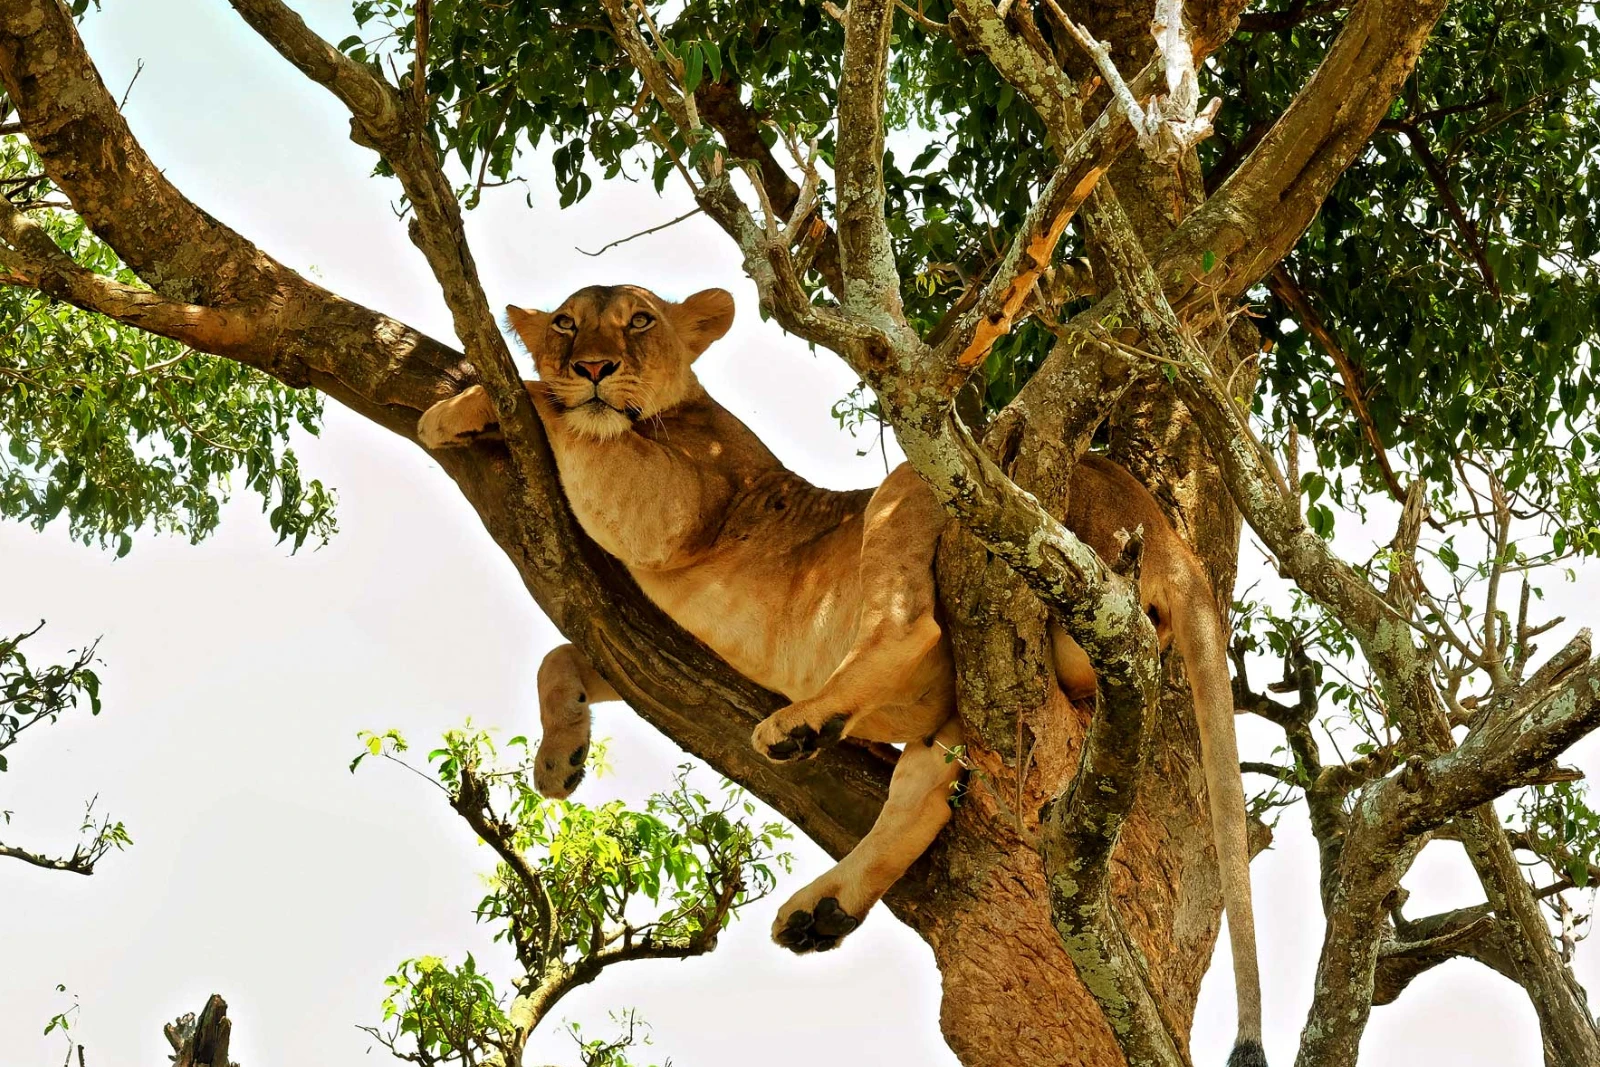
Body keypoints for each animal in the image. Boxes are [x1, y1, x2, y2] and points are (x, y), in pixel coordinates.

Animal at [417, 284, 1266, 1067]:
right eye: (565, 323)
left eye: (640, 321)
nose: (590, 364)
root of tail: (1158, 524)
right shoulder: (642, 629)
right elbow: (561, 655)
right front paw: (558, 763)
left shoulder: (674, 503)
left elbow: (558, 411)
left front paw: (458, 409)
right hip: (960, 697)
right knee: (924, 790)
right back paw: (820, 909)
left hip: (925, 486)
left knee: (911, 626)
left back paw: (798, 727)